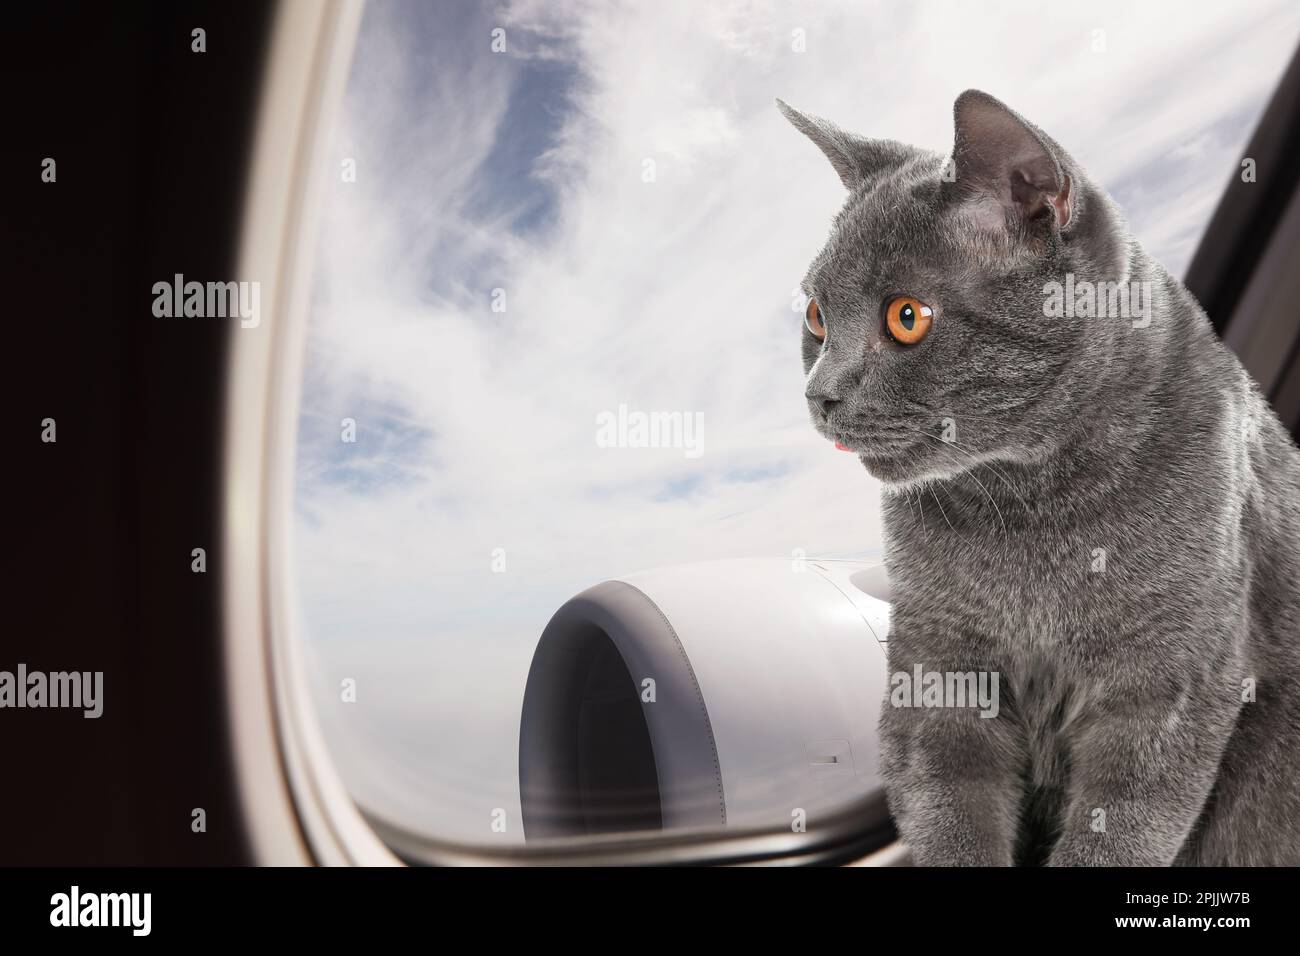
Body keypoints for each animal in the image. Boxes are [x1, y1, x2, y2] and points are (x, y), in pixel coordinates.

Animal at [780, 91, 1300, 868]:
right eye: (815, 316)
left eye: (906, 318)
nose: (819, 394)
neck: (1031, 507)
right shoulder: (940, 667)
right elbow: (951, 813)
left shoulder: (1170, 686)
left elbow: (1122, 830)